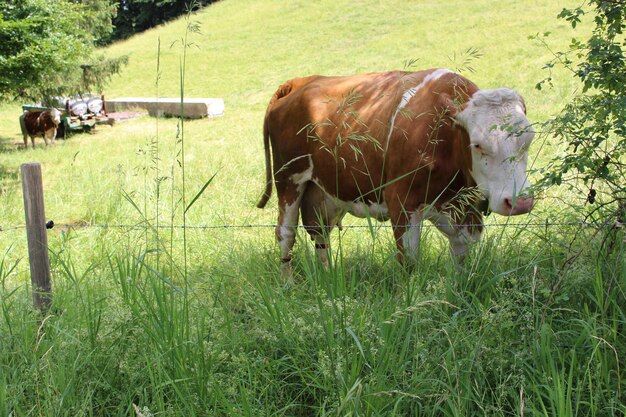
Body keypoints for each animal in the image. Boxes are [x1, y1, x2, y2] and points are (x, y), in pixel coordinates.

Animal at [256, 68, 532, 272]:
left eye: (530, 138)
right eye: (477, 144)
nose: (520, 202)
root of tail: (301, 81)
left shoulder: (465, 209)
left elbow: (461, 256)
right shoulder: (401, 202)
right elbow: (408, 261)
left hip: (324, 191)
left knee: (320, 234)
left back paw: (328, 277)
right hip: (288, 179)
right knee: (285, 234)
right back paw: (288, 284)